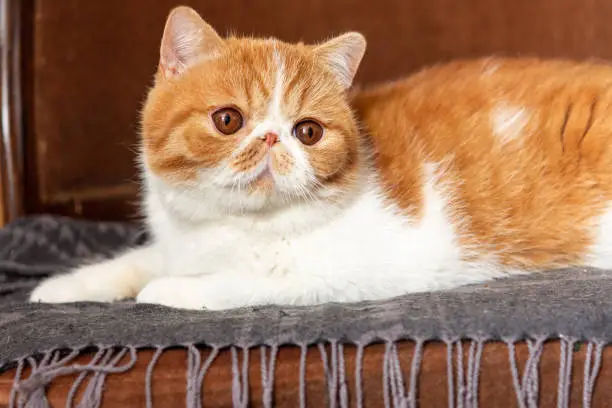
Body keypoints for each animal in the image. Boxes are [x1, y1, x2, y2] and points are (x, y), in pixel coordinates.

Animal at [29, 5, 612, 310]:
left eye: (307, 131)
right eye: (228, 120)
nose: (271, 139)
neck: (231, 230)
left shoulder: (359, 269)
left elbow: (234, 281)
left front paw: (163, 292)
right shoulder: (179, 243)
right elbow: (137, 260)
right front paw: (63, 286)